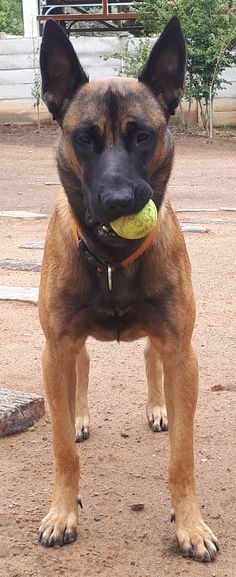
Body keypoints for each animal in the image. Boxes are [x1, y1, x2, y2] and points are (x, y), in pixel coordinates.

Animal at [37, 16, 219, 560]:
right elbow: (62, 451)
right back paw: (79, 416)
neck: (113, 261)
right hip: (69, 348)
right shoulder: (56, 348)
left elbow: (182, 458)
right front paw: (62, 513)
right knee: (82, 370)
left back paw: (158, 408)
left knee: (148, 357)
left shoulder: (181, 350)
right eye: (84, 138)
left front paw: (190, 524)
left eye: (143, 135)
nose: (119, 201)